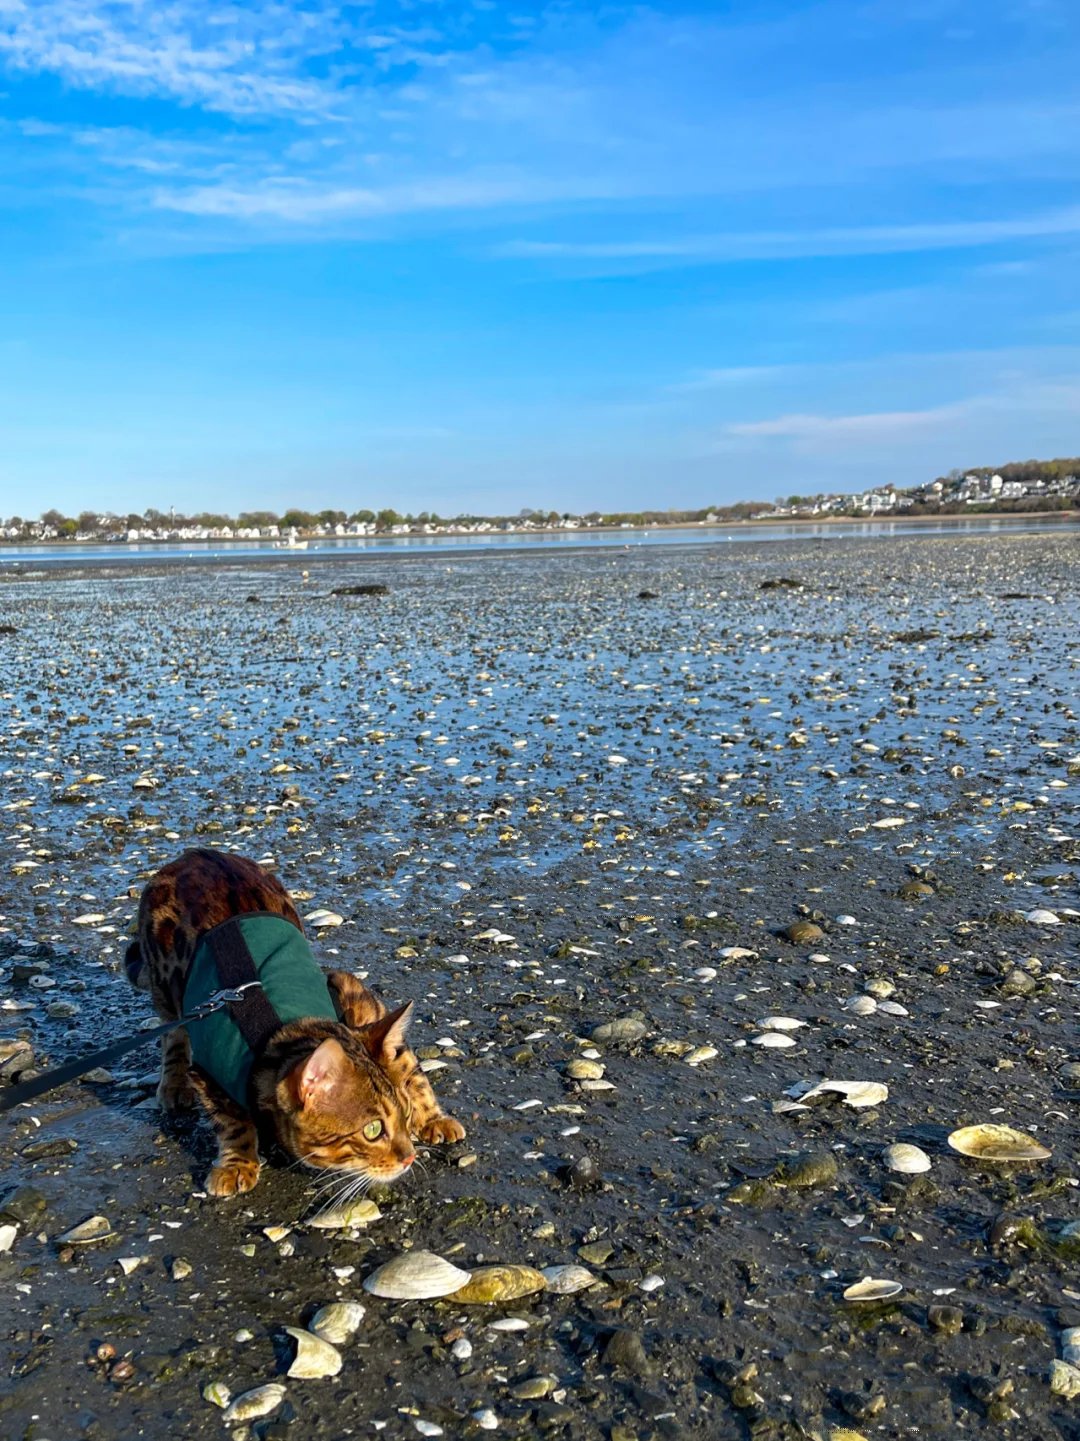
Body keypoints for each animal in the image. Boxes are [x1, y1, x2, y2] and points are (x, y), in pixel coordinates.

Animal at [126, 847, 464, 1198]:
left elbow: (409, 1065)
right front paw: (237, 1164)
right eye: (373, 1130)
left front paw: (433, 1118)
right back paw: (173, 1083)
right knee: (173, 1036)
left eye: (405, 1115)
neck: (279, 1030)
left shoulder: (350, 993)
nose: (410, 1157)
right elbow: (231, 1121)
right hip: (168, 990)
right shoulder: (209, 1070)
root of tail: (192, 853)